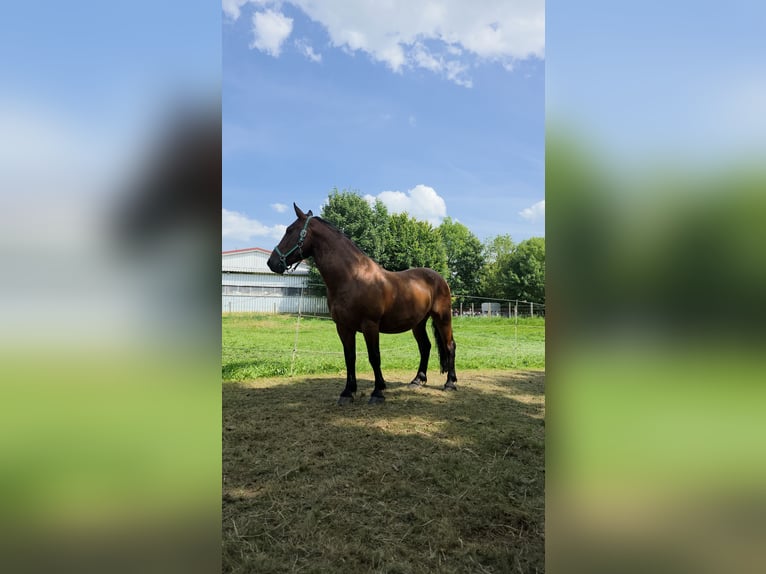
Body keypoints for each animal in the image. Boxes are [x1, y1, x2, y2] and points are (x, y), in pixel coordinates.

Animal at [268, 203, 458, 404]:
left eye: (289, 230)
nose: (271, 262)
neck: (353, 277)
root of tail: (439, 278)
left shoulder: (370, 325)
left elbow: (374, 357)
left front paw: (378, 392)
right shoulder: (343, 327)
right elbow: (349, 357)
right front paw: (347, 392)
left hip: (443, 318)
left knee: (450, 346)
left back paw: (450, 383)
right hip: (418, 323)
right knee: (425, 347)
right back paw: (417, 380)